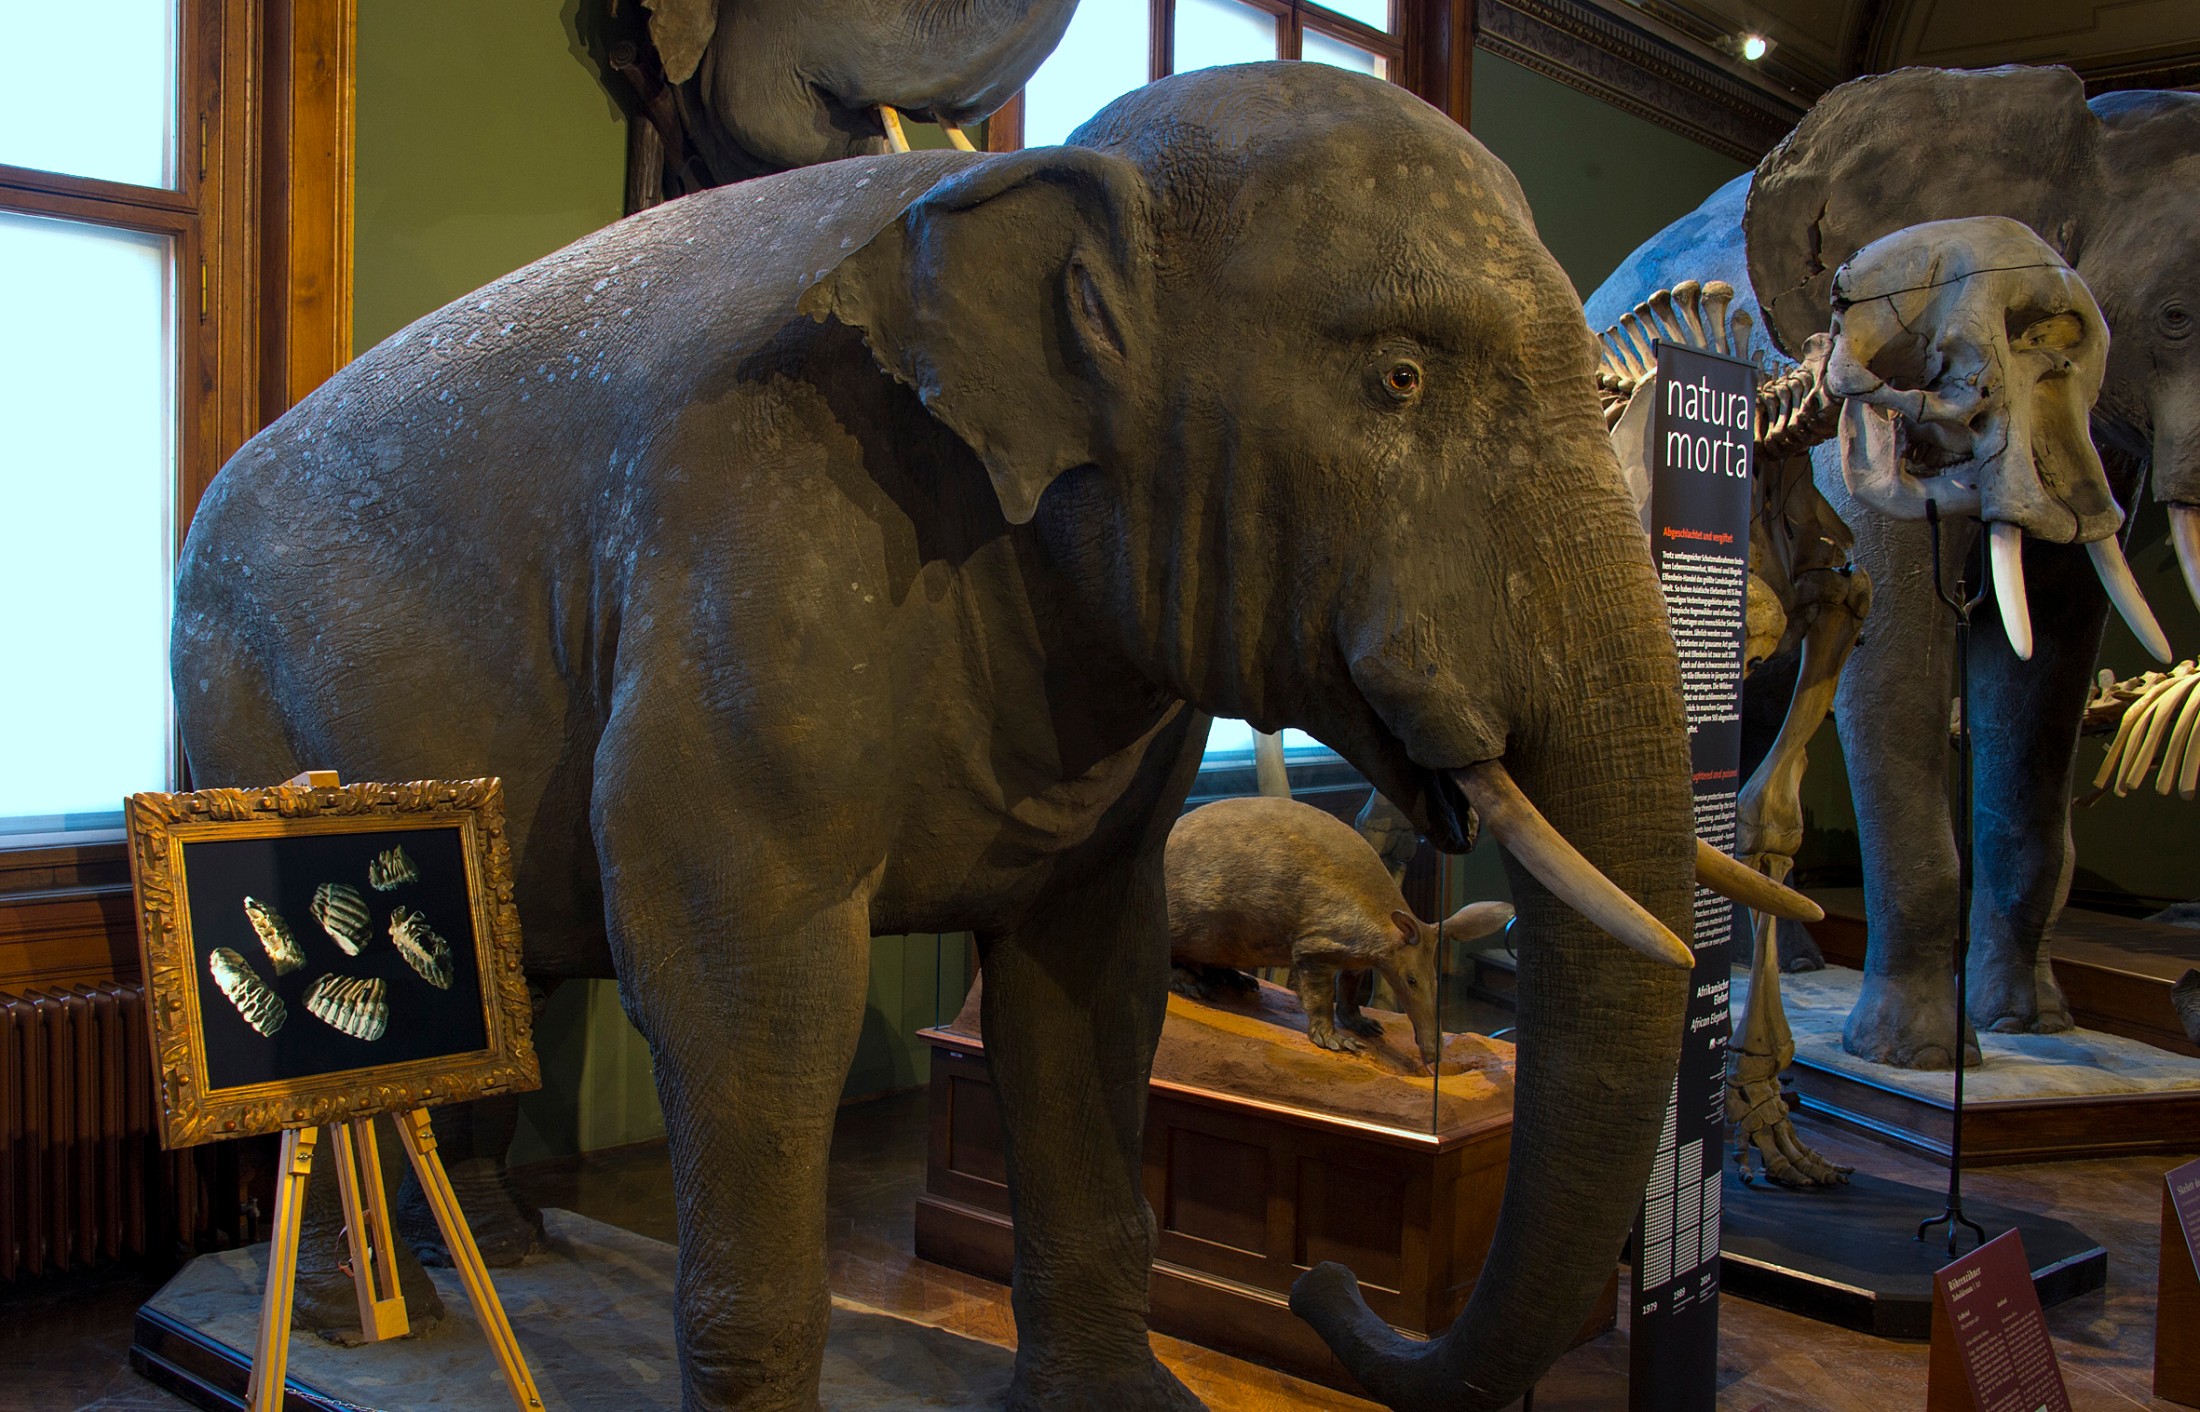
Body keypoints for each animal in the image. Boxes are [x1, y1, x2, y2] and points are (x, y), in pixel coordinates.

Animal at [167, 61, 1812, 1412]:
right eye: (1398, 377)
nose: (1321, 1284)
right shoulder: (753, 555)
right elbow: (745, 993)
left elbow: (1092, 991)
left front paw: (1126, 1401)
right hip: (231, 706)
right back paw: (345, 1320)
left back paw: (496, 1260)